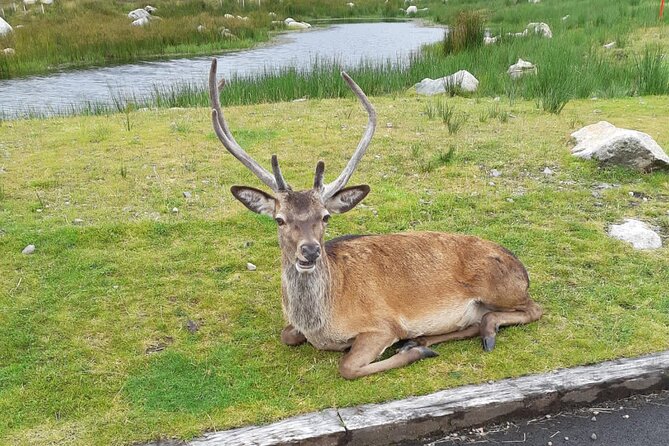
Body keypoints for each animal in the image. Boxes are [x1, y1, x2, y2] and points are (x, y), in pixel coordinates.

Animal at [209, 58, 544, 380]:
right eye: (279, 219)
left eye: (325, 217)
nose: (310, 251)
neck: (322, 323)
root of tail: (522, 269)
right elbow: (286, 335)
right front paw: (415, 345)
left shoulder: (381, 325)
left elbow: (346, 366)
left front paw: (412, 352)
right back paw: (424, 338)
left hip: (500, 288)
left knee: (533, 308)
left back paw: (472, 335)